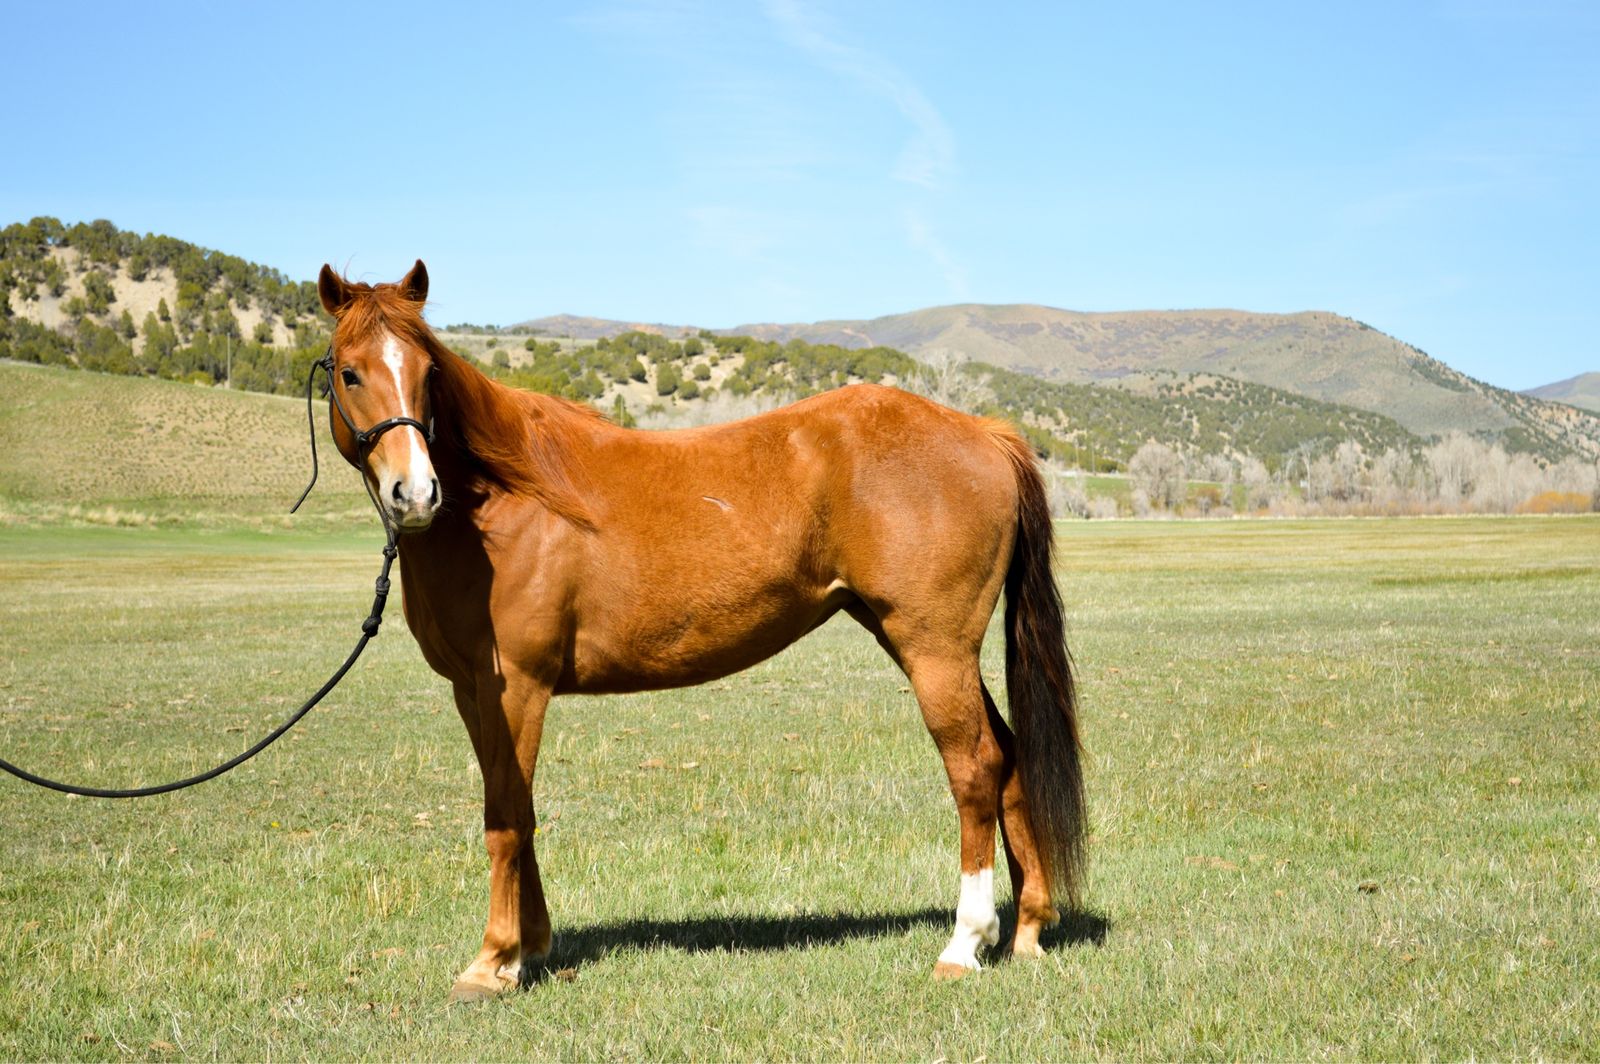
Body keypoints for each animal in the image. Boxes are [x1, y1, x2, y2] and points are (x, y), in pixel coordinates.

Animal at [315, 261, 1085, 999]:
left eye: (428, 372)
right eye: (350, 371)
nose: (416, 494)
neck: (505, 504)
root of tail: (982, 432)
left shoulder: (518, 688)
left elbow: (505, 819)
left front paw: (491, 962)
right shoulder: (475, 694)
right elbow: (519, 812)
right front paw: (529, 949)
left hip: (934, 649)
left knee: (974, 770)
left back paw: (965, 942)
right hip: (928, 647)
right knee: (1009, 759)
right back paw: (1026, 930)